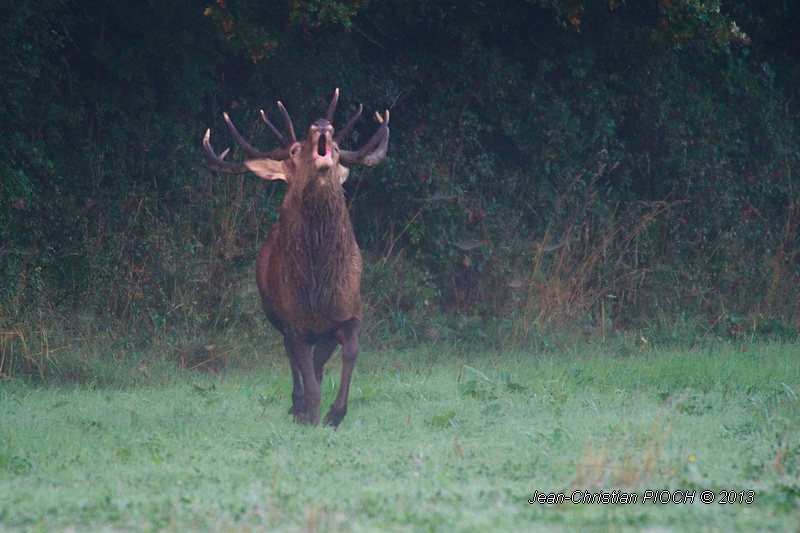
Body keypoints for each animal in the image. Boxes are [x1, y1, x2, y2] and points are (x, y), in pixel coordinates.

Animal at [203, 89, 390, 426]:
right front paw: (311, 413)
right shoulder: (293, 321)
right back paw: (297, 404)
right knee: (293, 360)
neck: (317, 288)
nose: (321, 124)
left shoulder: (349, 311)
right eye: (293, 150)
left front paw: (335, 413)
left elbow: (347, 353)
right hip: (273, 313)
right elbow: (305, 371)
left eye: (339, 148)